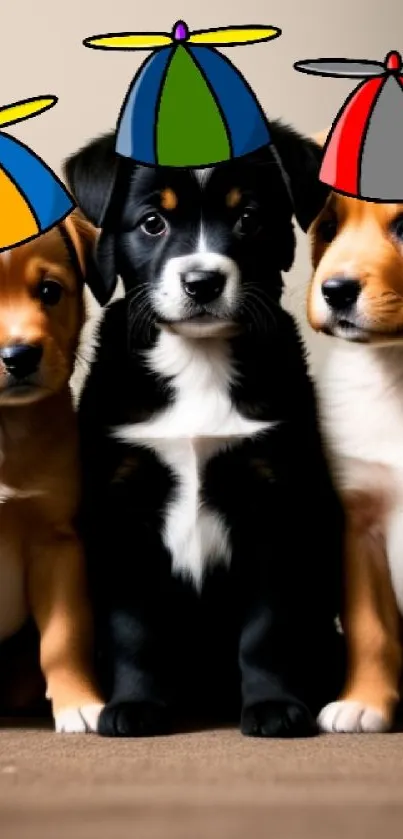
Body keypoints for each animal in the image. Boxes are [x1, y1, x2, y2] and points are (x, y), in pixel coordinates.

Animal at [64, 121, 346, 740]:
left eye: (249, 218)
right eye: (153, 222)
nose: (202, 282)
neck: (198, 359)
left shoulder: (274, 500)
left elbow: (267, 626)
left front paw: (272, 706)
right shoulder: (121, 509)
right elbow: (132, 626)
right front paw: (136, 705)